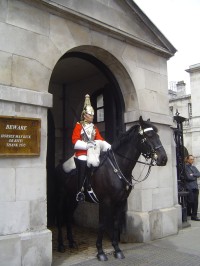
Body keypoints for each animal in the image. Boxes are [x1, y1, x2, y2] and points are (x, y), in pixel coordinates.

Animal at [54, 116, 167, 260]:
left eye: (158, 135)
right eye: (148, 136)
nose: (163, 159)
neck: (118, 166)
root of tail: (60, 165)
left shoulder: (120, 201)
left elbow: (116, 223)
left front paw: (117, 249)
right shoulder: (105, 202)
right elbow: (102, 224)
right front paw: (100, 251)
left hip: (73, 198)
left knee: (68, 216)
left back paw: (72, 242)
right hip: (61, 196)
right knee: (59, 217)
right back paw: (61, 245)